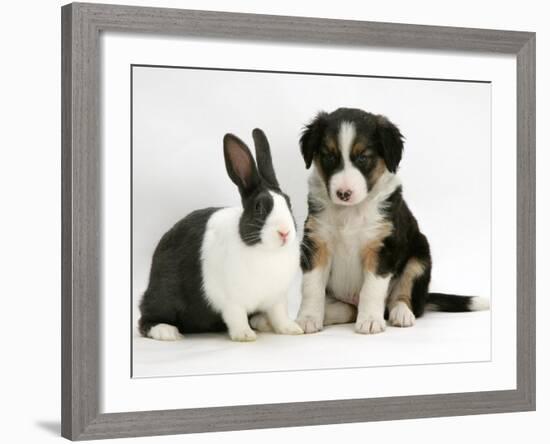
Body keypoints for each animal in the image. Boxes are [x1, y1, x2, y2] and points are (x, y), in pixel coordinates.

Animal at [136, 128, 304, 344]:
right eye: (258, 207)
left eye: (289, 203)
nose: (284, 232)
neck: (266, 251)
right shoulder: (231, 300)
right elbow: (237, 317)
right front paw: (245, 336)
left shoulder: (277, 298)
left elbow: (280, 315)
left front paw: (292, 329)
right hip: (163, 294)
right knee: (145, 317)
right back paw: (167, 332)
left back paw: (262, 322)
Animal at [296, 109, 490, 334]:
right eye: (329, 156)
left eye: (363, 157)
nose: (343, 193)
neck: (351, 211)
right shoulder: (317, 242)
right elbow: (312, 287)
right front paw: (308, 318)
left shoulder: (382, 247)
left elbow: (371, 289)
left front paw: (370, 320)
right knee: (348, 310)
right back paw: (329, 314)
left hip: (419, 257)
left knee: (402, 299)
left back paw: (401, 314)